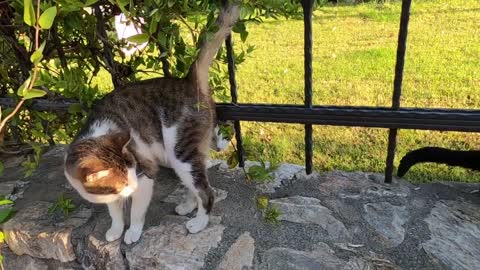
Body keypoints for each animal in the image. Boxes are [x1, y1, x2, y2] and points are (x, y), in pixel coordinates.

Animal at [63, 2, 240, 244]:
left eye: (133, 174)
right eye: (122, 182)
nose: (133, 186)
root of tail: (188, 81)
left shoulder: (145, 173)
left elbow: (136, 212)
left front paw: (132, 233)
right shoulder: (112, 194)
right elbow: (115, 212)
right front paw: (115, 230)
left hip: (180, 151)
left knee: (206, 190)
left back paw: (199, 223)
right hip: (187, 153)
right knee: (195, 181)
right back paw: (187, 206)